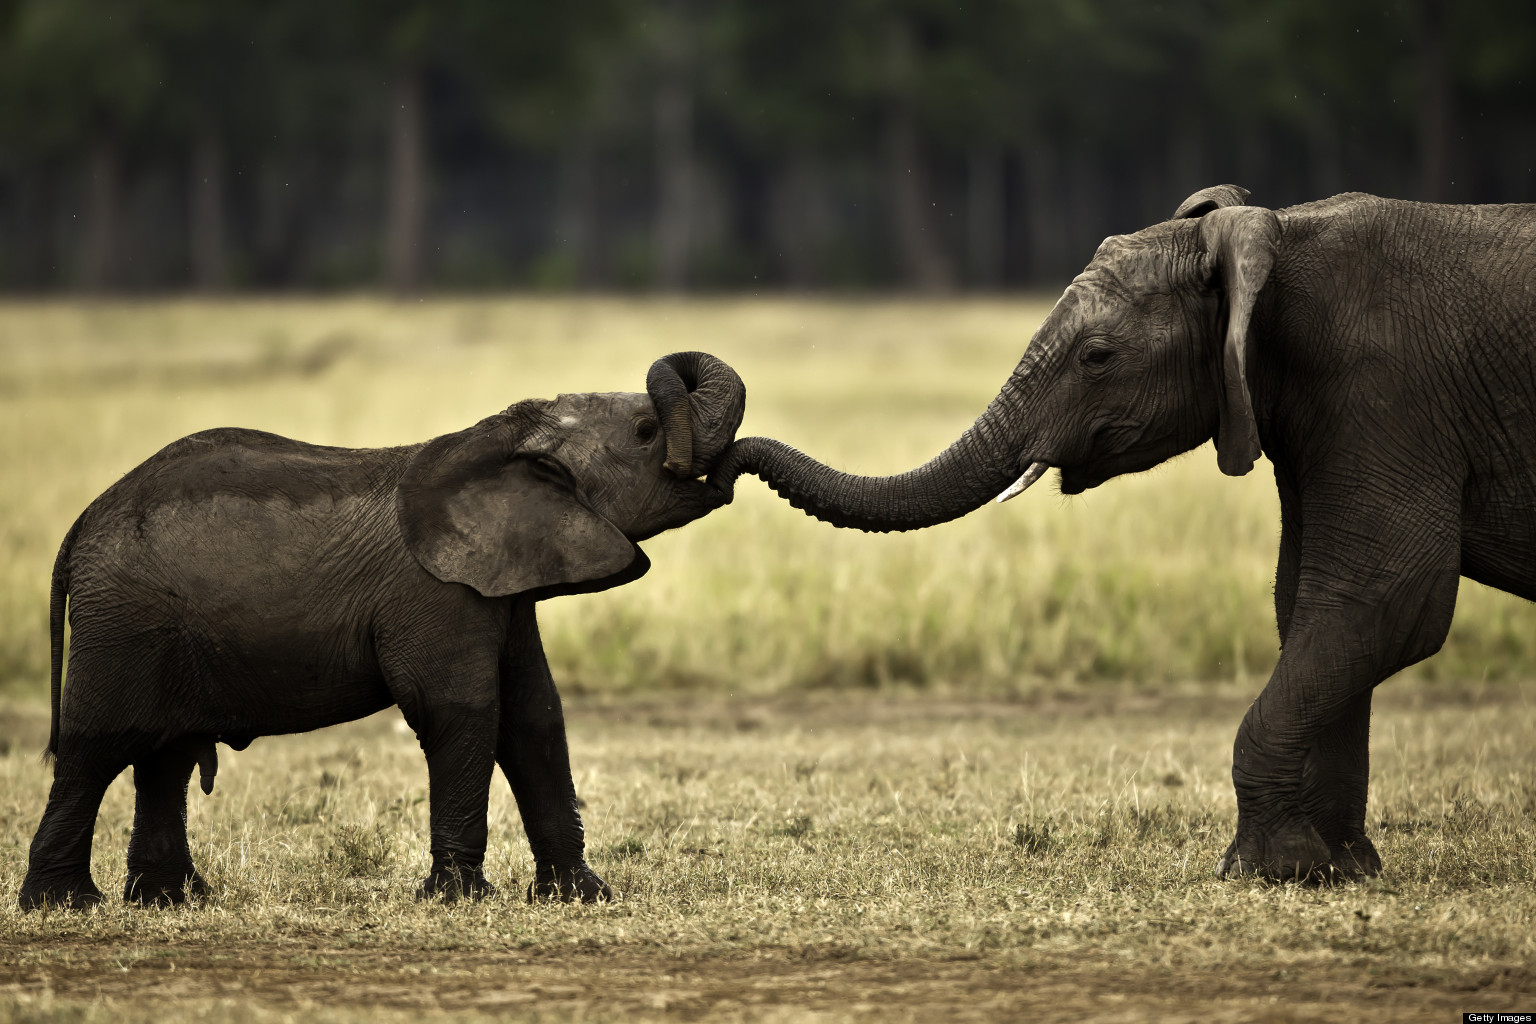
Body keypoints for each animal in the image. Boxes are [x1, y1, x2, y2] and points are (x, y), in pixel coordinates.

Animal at [19, 350, 744, 910]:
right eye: (648, 431)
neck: (503, 440)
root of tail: (80, 527)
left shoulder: (501, 587)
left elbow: (534, 714)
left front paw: (581, 897)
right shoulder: (435, 592)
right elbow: (462, 711)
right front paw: (460, 900)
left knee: (161, 758)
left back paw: (171, 902)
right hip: (122, 626)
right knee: (95, 751)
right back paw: (65, 905)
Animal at [708, 186, 1536, 881]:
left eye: (1097, 356)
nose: (717, 465)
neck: (1275, 240)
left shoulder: (1386, 393)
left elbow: (1385, 602)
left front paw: (1264, 870)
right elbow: (1311, 602)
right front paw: (1334, 870)